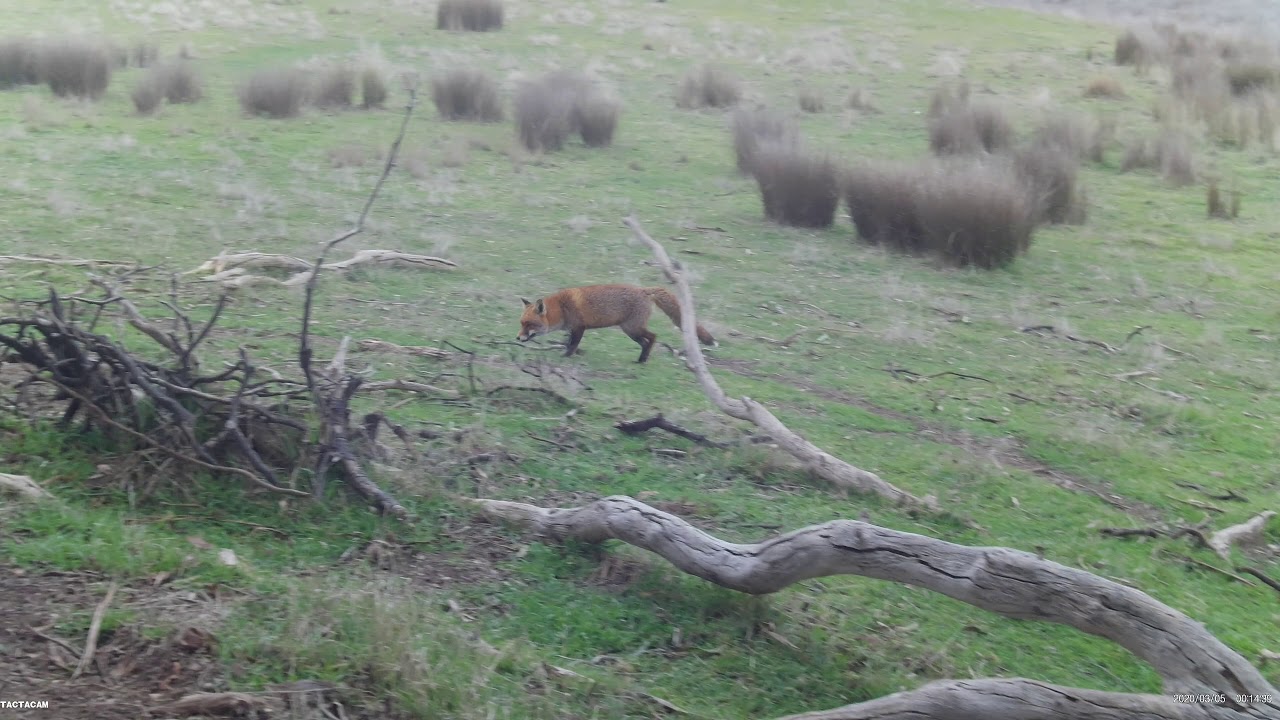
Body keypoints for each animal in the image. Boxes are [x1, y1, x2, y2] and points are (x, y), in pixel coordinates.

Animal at [517, 284, 715, 363]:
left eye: (529, 324)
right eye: (521, 323)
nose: (518, 338)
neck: (562, 308)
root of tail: (643, 290)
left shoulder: (579, 327)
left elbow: (572, 345)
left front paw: (566, 357)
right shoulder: (573, 329)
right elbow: (569, 343)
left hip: (633, 328)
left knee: (653, 337)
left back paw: (644, 360)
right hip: (630, 331)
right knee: (645, 342)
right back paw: (640, 359)